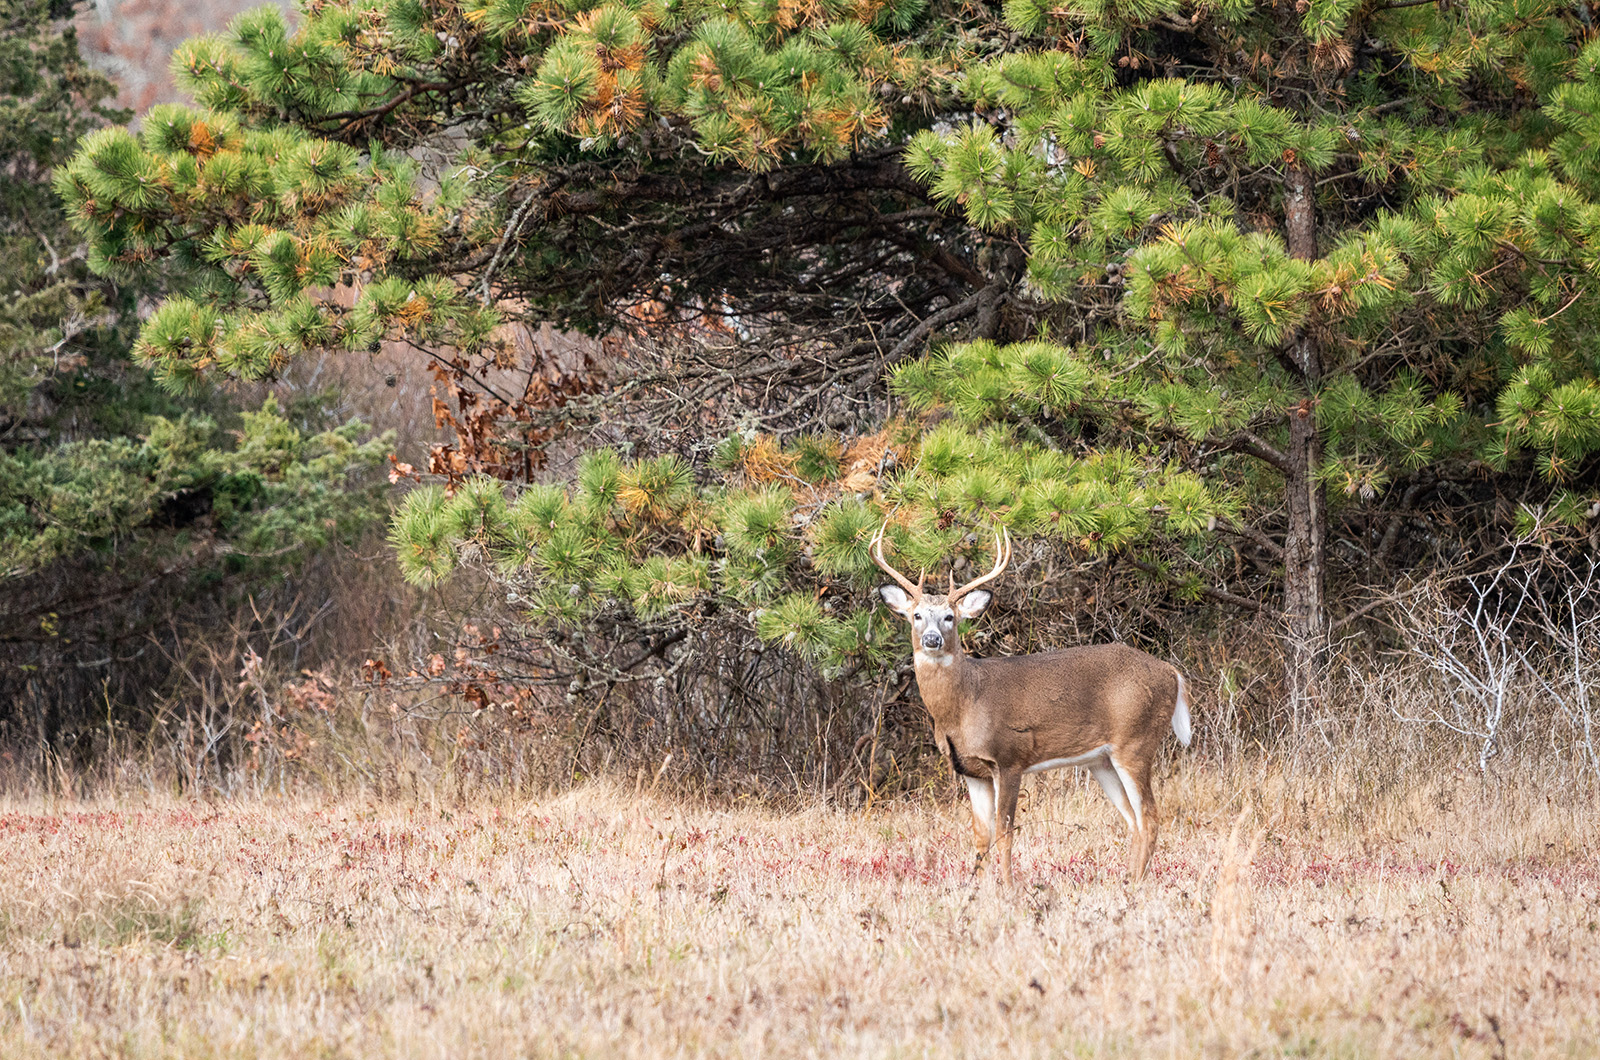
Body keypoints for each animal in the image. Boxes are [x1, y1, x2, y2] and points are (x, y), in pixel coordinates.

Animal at [872, 523, 1191, 886]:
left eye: (950, 617)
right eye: (916, 615)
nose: (931, 639)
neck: (965, 704)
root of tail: (1171, 673)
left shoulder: (1009, 757)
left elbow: (1004, 831)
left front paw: (1008, 887)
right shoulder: (971, 770)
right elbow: (980, 834)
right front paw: (977, 888)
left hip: (1136, 741)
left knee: (1150, 815)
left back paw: (1136, 884)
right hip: (1102, 760)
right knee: (1133, 818)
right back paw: (1126, 880)